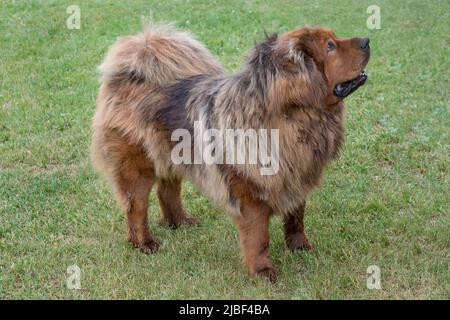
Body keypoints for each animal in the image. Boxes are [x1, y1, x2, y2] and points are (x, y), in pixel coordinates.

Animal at [90, 23, 370, 282]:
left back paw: (180, 222)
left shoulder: (296, 174)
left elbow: (296, 216)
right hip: (138, 168)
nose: (367, 40)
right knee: (136, 209)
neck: (293, 118)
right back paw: (144, 243)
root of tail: (128, 76)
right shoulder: (250, 193)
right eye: (330, 47)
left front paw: (300, 246)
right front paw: (262, 271)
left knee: (167, 192)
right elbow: (259, 237)